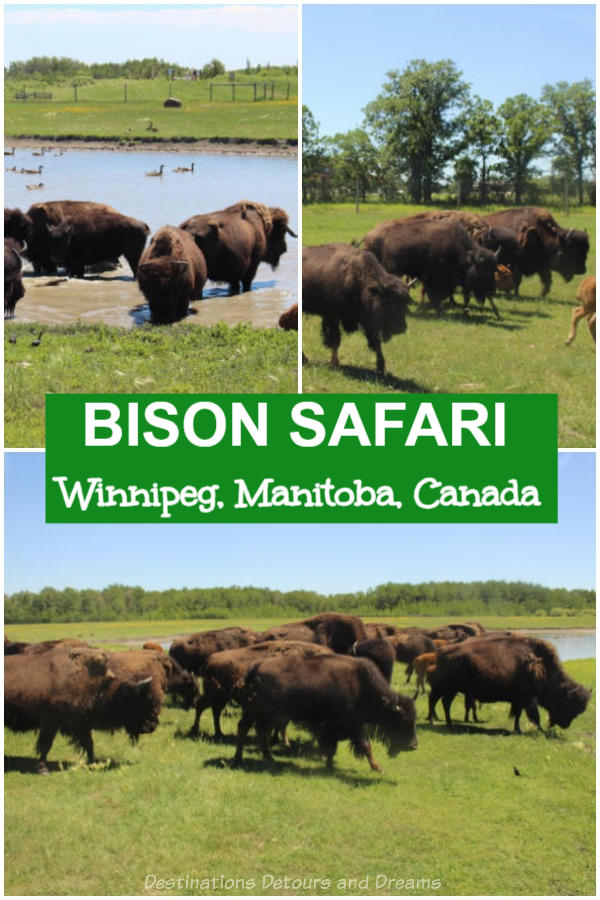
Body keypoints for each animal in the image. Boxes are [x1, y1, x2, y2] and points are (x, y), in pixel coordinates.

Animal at [231, 652, 418, 772]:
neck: (360, 685)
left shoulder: (347, 726)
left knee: (261, 731)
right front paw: (377, 768)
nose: (414, 745)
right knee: (244, 728)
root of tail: (254, 667)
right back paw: (239, 759)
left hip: (269, 715)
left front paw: (330, 765)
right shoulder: (347, 725)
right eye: (402, 720)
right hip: (255, 712)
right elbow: (363, 745)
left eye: (414, 719)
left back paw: (269, 758)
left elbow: (345, 746)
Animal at [302, 243, 410, 376]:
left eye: (405, 303)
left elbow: (376, 343)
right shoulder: (332, 316)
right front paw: (335, 364)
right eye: (387, 301)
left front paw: (381, 369)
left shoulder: (368, 322)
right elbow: (335, 340)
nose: (401, 328)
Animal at [366, 216, 496, 318]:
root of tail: (370, 236)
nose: (491, 291)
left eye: (493, 269)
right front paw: (439, 311)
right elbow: (434, 295)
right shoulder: (434, 279)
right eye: (482, 270)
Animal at [426, 632, 592, 732]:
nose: (565, 725)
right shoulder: (529, 699)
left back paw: (443, 722)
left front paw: (518, 729)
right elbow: (534, 716)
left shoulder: (519, 700)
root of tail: (441, 651)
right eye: (568, 704)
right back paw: (443, 723)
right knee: (439, 701)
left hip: (449, 690)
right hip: (447, 688)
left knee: (440, 701)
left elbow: (517, 715)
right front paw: (539, 730)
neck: (544, 666)